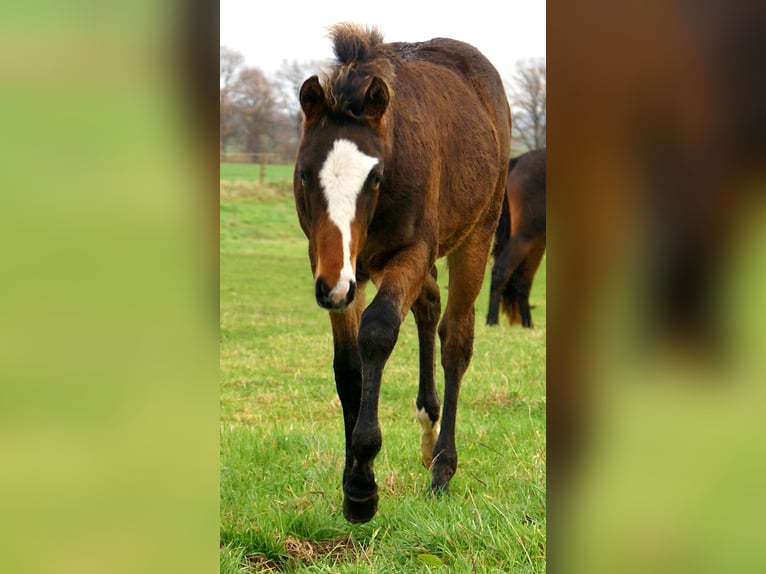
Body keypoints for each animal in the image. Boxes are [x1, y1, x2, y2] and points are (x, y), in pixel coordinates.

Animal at [292, 23, 511, 523]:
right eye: (304, 175)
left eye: (374, 178)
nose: (332, 289)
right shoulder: (339, 268)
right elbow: (348, 364)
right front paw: (353, 485)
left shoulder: (410, 252)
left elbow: (376, 331)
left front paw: (362, 485)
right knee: (428, 305)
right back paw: (428, 431)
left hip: (477, 234)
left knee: (455, 339)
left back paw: (442, 468)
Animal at [486, 148, 546, 328]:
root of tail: (518, 161)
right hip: (525, 237)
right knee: (501, 271)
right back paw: (492, 322)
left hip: (537, 242)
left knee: (522, 281)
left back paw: (528, 326)